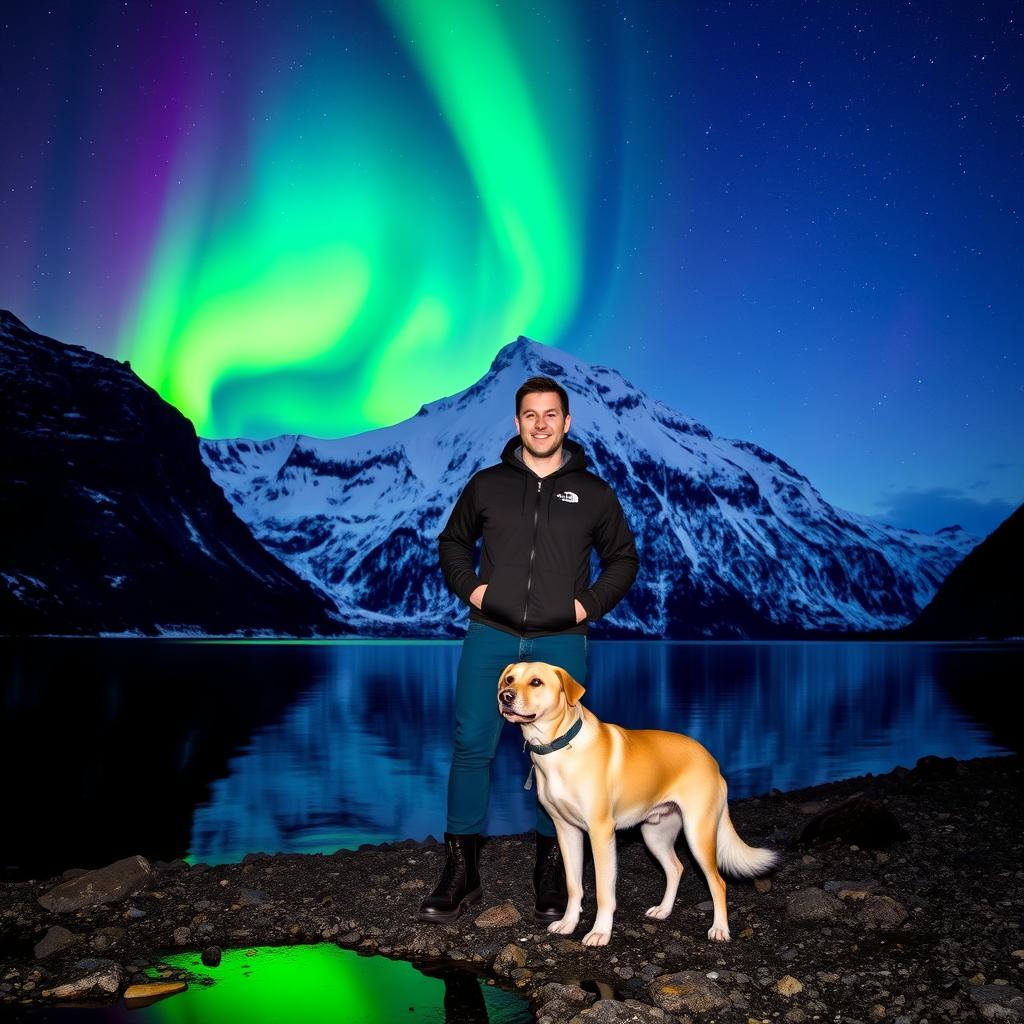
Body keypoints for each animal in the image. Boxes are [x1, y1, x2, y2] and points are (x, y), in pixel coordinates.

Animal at [495, 663, 774, 942]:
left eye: (536, 682)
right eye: (509, 679)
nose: (504, 696)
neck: (558, 747)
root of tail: (712, 762)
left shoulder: (601, 833)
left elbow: (604, 893)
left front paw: (600, 932)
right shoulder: (567, 830)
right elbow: (574, 886)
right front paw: (568, 923)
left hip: (698, 834)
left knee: (718, 882)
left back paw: (719, 929)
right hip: (655, 834)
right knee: (675, 868)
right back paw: (663, 910)